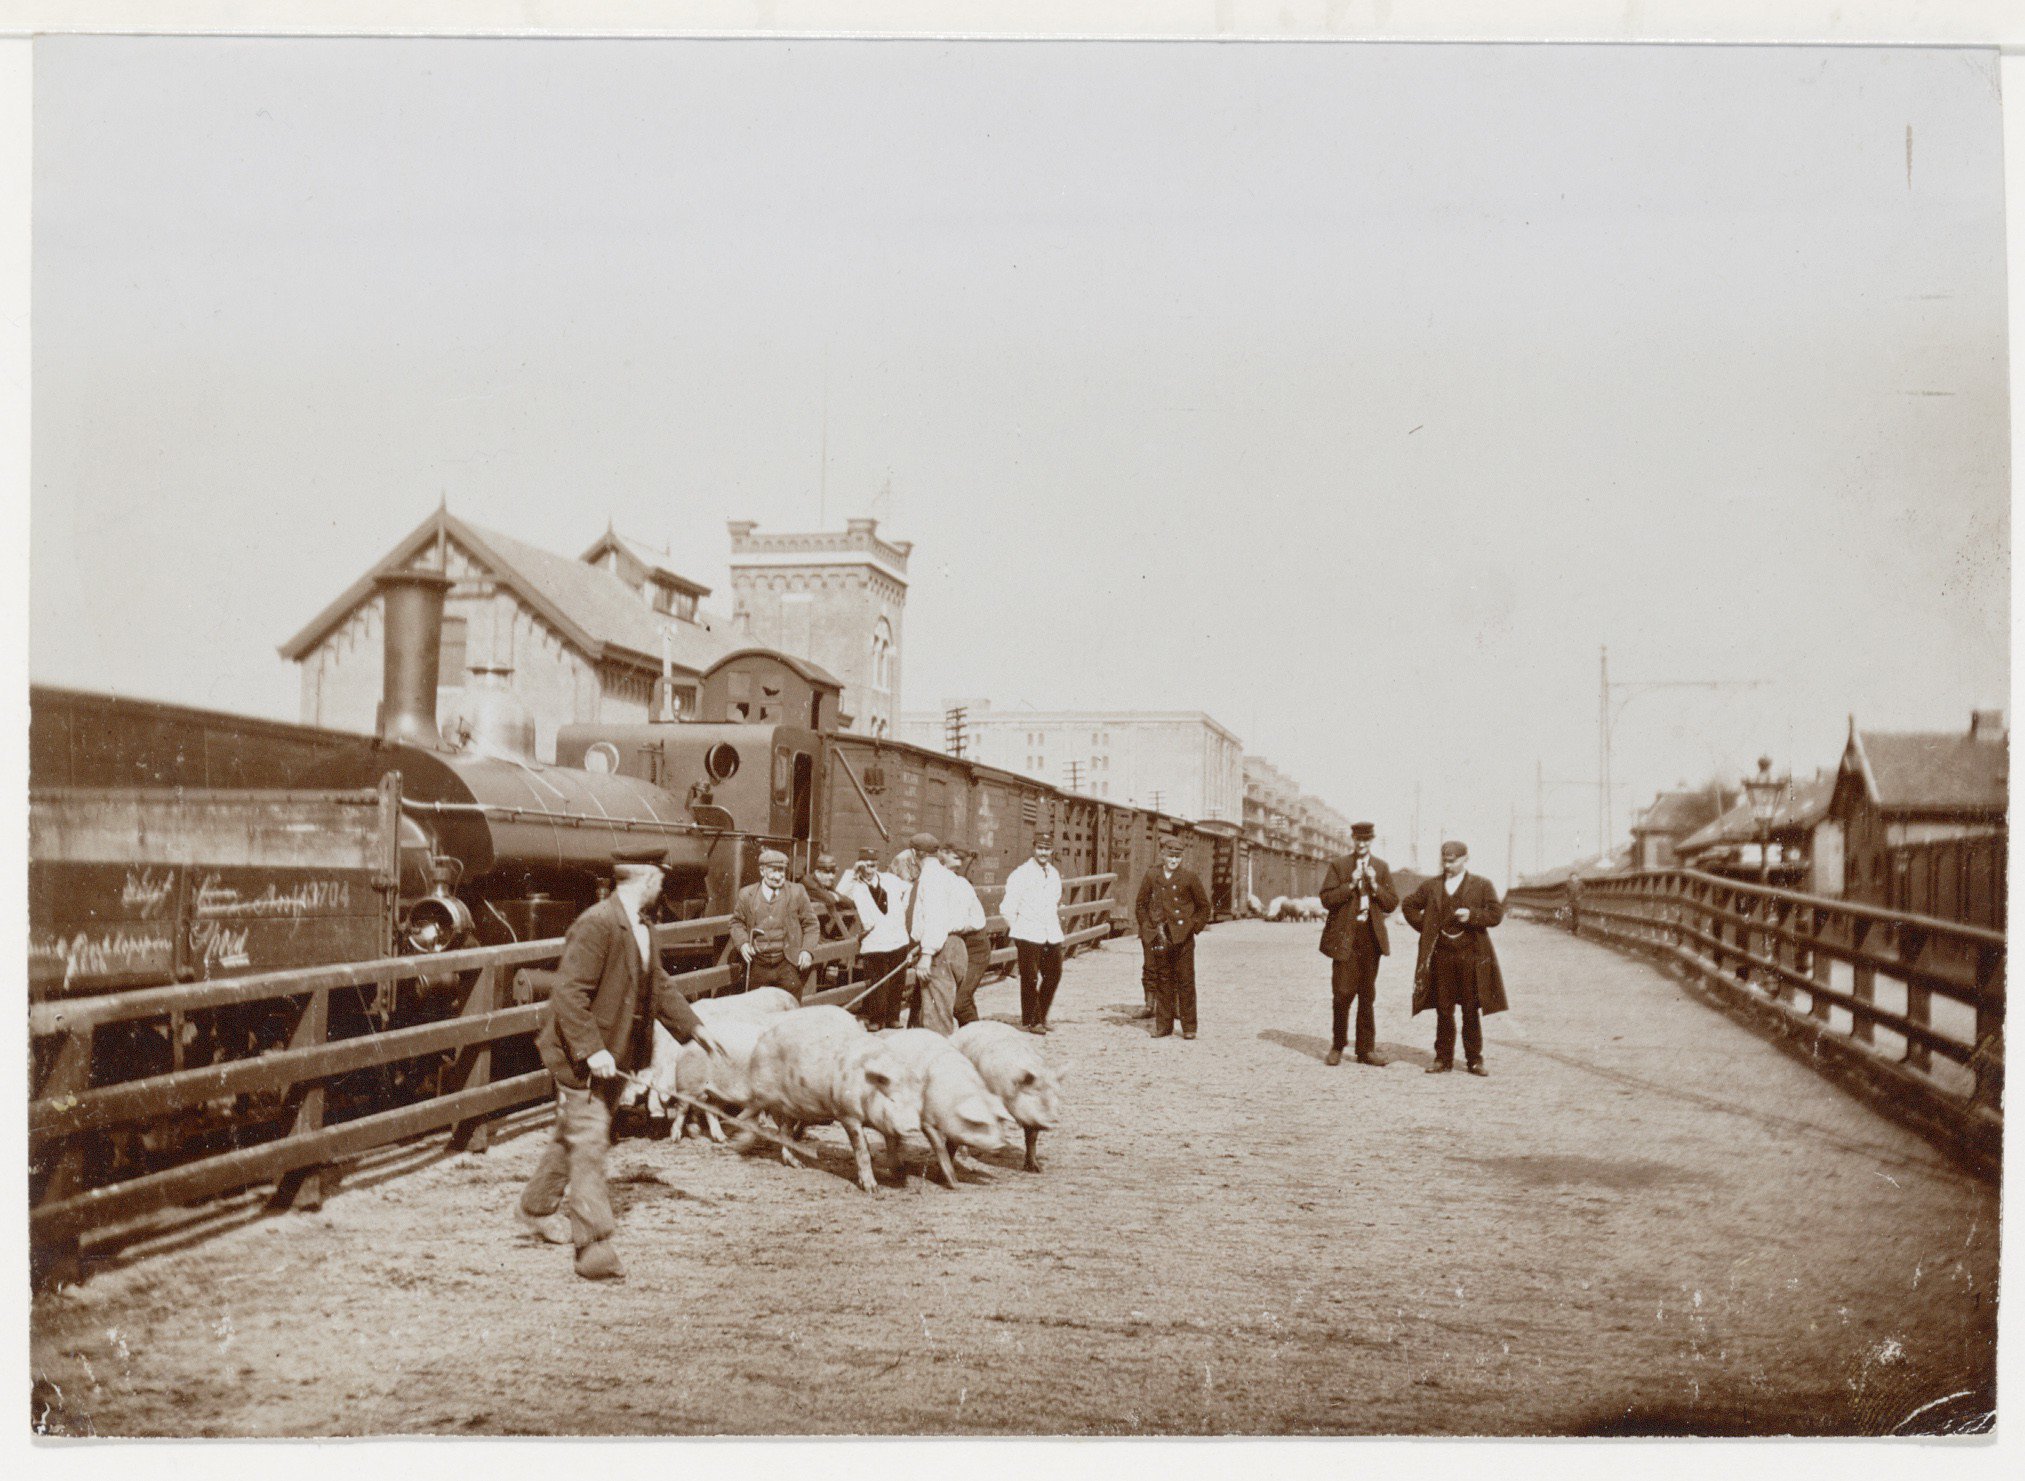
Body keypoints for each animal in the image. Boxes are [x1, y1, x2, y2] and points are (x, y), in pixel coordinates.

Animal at [741, 1000, 923, 1191]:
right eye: (892, 1098)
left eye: (916, 1101)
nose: (913, 1127)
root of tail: (763, 1039)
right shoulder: (847, 1114)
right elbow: (861, 1146)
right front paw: (872, 1189)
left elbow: (893, 1144)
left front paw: (900, 1174)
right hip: (764, 1093)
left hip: (792, 1106)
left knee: (785, 1130)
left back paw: (798, 1164)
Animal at [882, 1029, 1020, 1191]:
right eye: (979, 1124)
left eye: (997, 1121)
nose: (1003, 1144)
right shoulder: (926, 1120)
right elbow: (939, 1146)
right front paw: (955, 1185)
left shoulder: (955, 1130)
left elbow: (951, 1147)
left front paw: (943, 1178)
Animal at [955, 1021, 1069, 1166]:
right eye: (1034, 1092)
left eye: (1055, 1094)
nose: (1052, 1120)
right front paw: (995, 1150)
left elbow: (1031, 1137)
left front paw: (1034, 1167)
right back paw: (965, 1154)